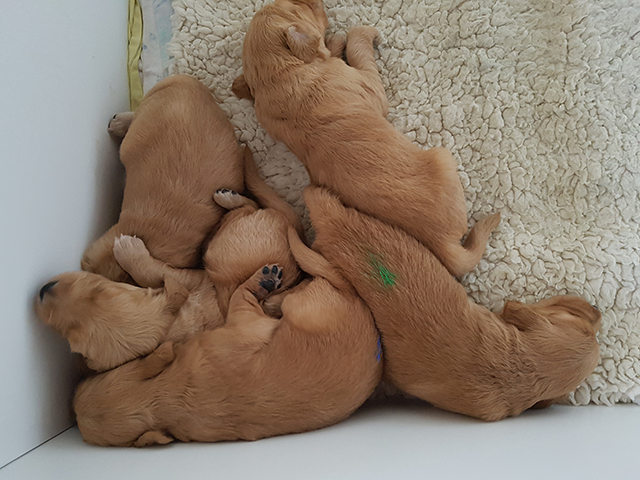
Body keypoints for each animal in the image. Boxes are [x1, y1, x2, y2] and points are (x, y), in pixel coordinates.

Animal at [233, 0, 500, 277]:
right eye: (299, 7)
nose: (317, 2)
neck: (278, 75)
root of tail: (445, 244)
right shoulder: (368, 84)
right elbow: (358, 50)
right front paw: (355, 35)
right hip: (443, 158)